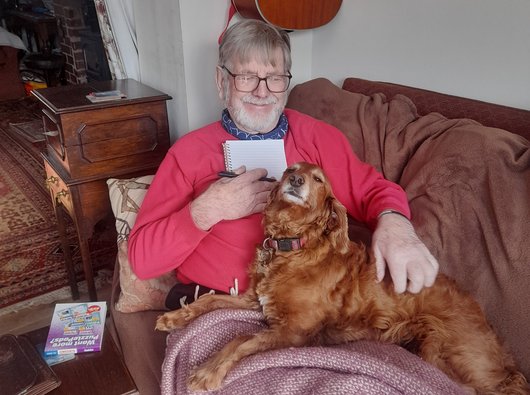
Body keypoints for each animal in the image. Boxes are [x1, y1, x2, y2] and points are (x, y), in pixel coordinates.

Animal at [155, 162, 524, 394]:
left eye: (318, 179)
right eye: (290, 169)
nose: (295, 181)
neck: (291, 247)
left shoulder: (294, 331)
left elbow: (240, 339)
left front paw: (208, 371)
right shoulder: (252, 298)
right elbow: (210, 300)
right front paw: (176, 317)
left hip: (442, 348)